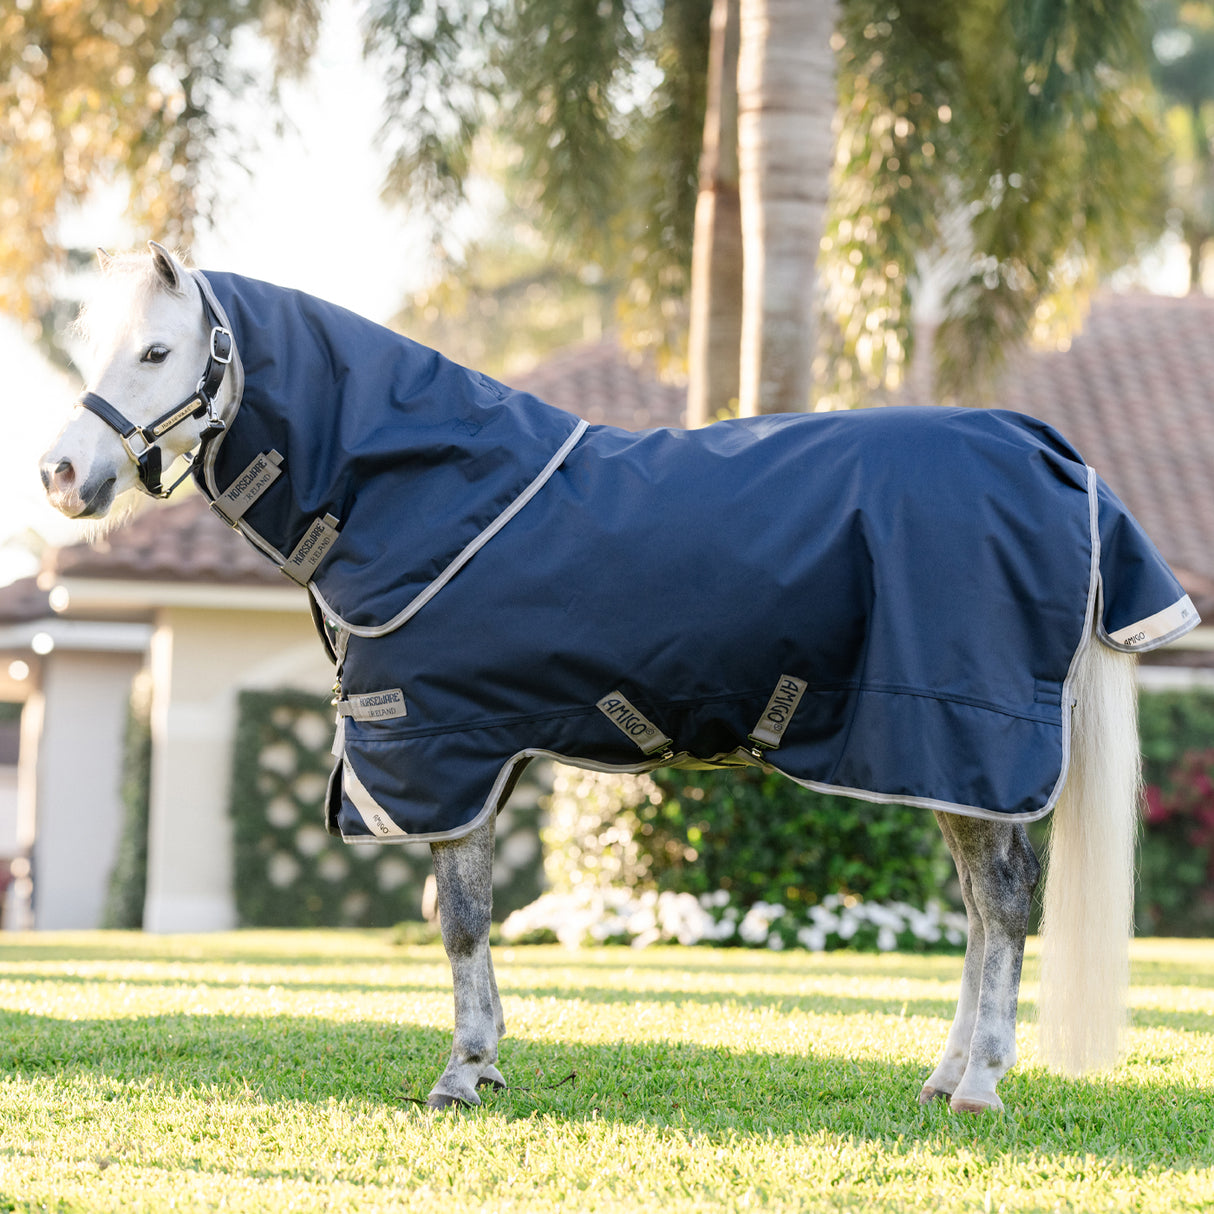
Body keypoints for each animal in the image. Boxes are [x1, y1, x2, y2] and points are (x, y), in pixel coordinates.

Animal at [40, 243, 1197, 1113]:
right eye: (98, 345)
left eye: (157, 350)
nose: (60, 475)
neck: (419, 493)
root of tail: (1058, 458)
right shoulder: (474, 758)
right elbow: (467, 919)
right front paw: (484, 1062)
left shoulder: (443, 752)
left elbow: (458, 921)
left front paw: (462, 1072)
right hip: (946, 761)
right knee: (979, 908)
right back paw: (946, 1075)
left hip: (965, 740)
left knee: (1001, 906)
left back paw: (979, 1085)